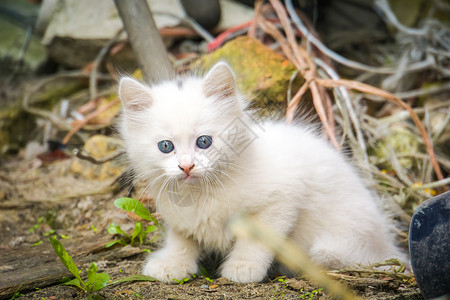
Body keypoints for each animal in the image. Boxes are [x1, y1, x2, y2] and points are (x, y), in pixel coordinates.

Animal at [118, 61, 406, 284]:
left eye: (204, 141)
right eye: (166, 146)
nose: (187, 166)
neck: (202, 193)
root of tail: (388, 245)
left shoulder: (282, 199)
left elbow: (256, 241)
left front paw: (243, 268)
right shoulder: (181, 218)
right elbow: (181, 240)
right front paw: (172, 264)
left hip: (335, 241)